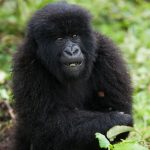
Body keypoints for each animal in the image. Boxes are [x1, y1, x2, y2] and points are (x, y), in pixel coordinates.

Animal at [12, 2, 132, 150]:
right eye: (59, 39)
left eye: (75, 35)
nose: (72, 51)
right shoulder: (27, 64)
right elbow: (46, 124)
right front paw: (116, 120)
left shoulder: (109, 55)